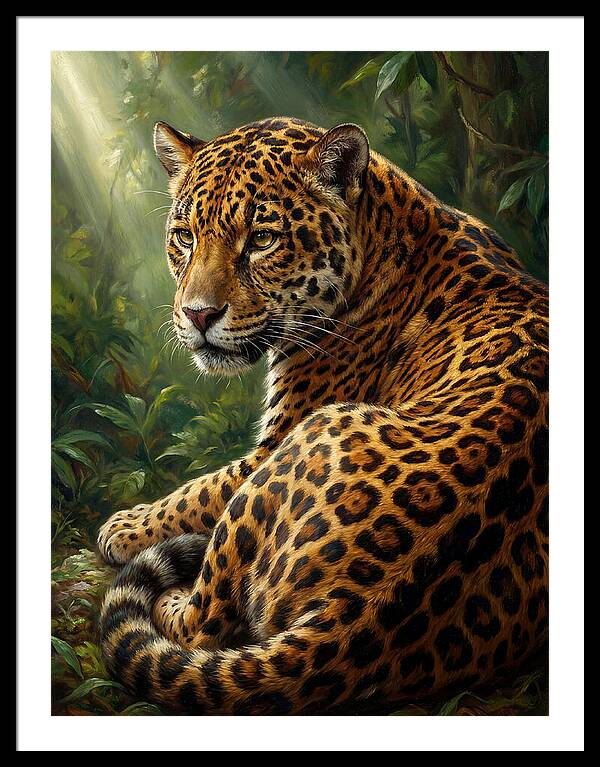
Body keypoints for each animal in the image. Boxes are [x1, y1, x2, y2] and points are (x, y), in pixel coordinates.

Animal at [98, 116, 549, 715]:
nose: (197, 314)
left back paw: (173, 592)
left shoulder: (277, 439)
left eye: (262, 239)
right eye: (186, 236)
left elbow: (200, 490)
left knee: (203, 625)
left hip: (304, 441)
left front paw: (125, 526)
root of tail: (355, 616)